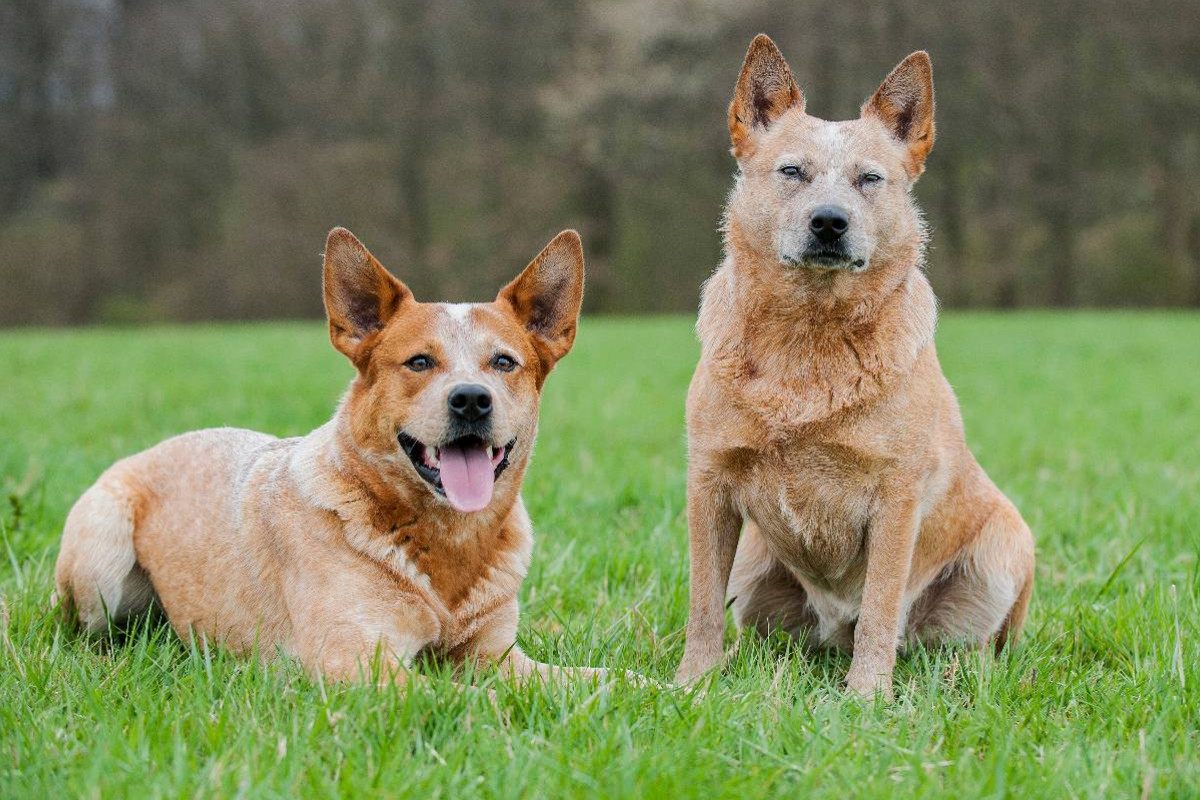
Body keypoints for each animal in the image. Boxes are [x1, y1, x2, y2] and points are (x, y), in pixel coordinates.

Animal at [58, 226, 619, 690]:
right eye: (419, 361)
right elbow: (465, 699)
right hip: (100, 553)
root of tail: (152, 448)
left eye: (503, 362)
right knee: (82, 632)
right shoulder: (354, 659)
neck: (447, 544)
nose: (471, 399)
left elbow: (605, 679)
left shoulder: (496, 656)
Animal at [676, 35, 1032, 700]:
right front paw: (691, 685)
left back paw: (956, 676)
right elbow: (703, 603)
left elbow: (881, 608)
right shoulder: (709, 482)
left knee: (970, 647)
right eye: (792, 171)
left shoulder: (896, 494)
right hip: (755, 568)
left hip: (1006, 550)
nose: (829, 221)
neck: (808, 340)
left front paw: (867, 698)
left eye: (870, 178)